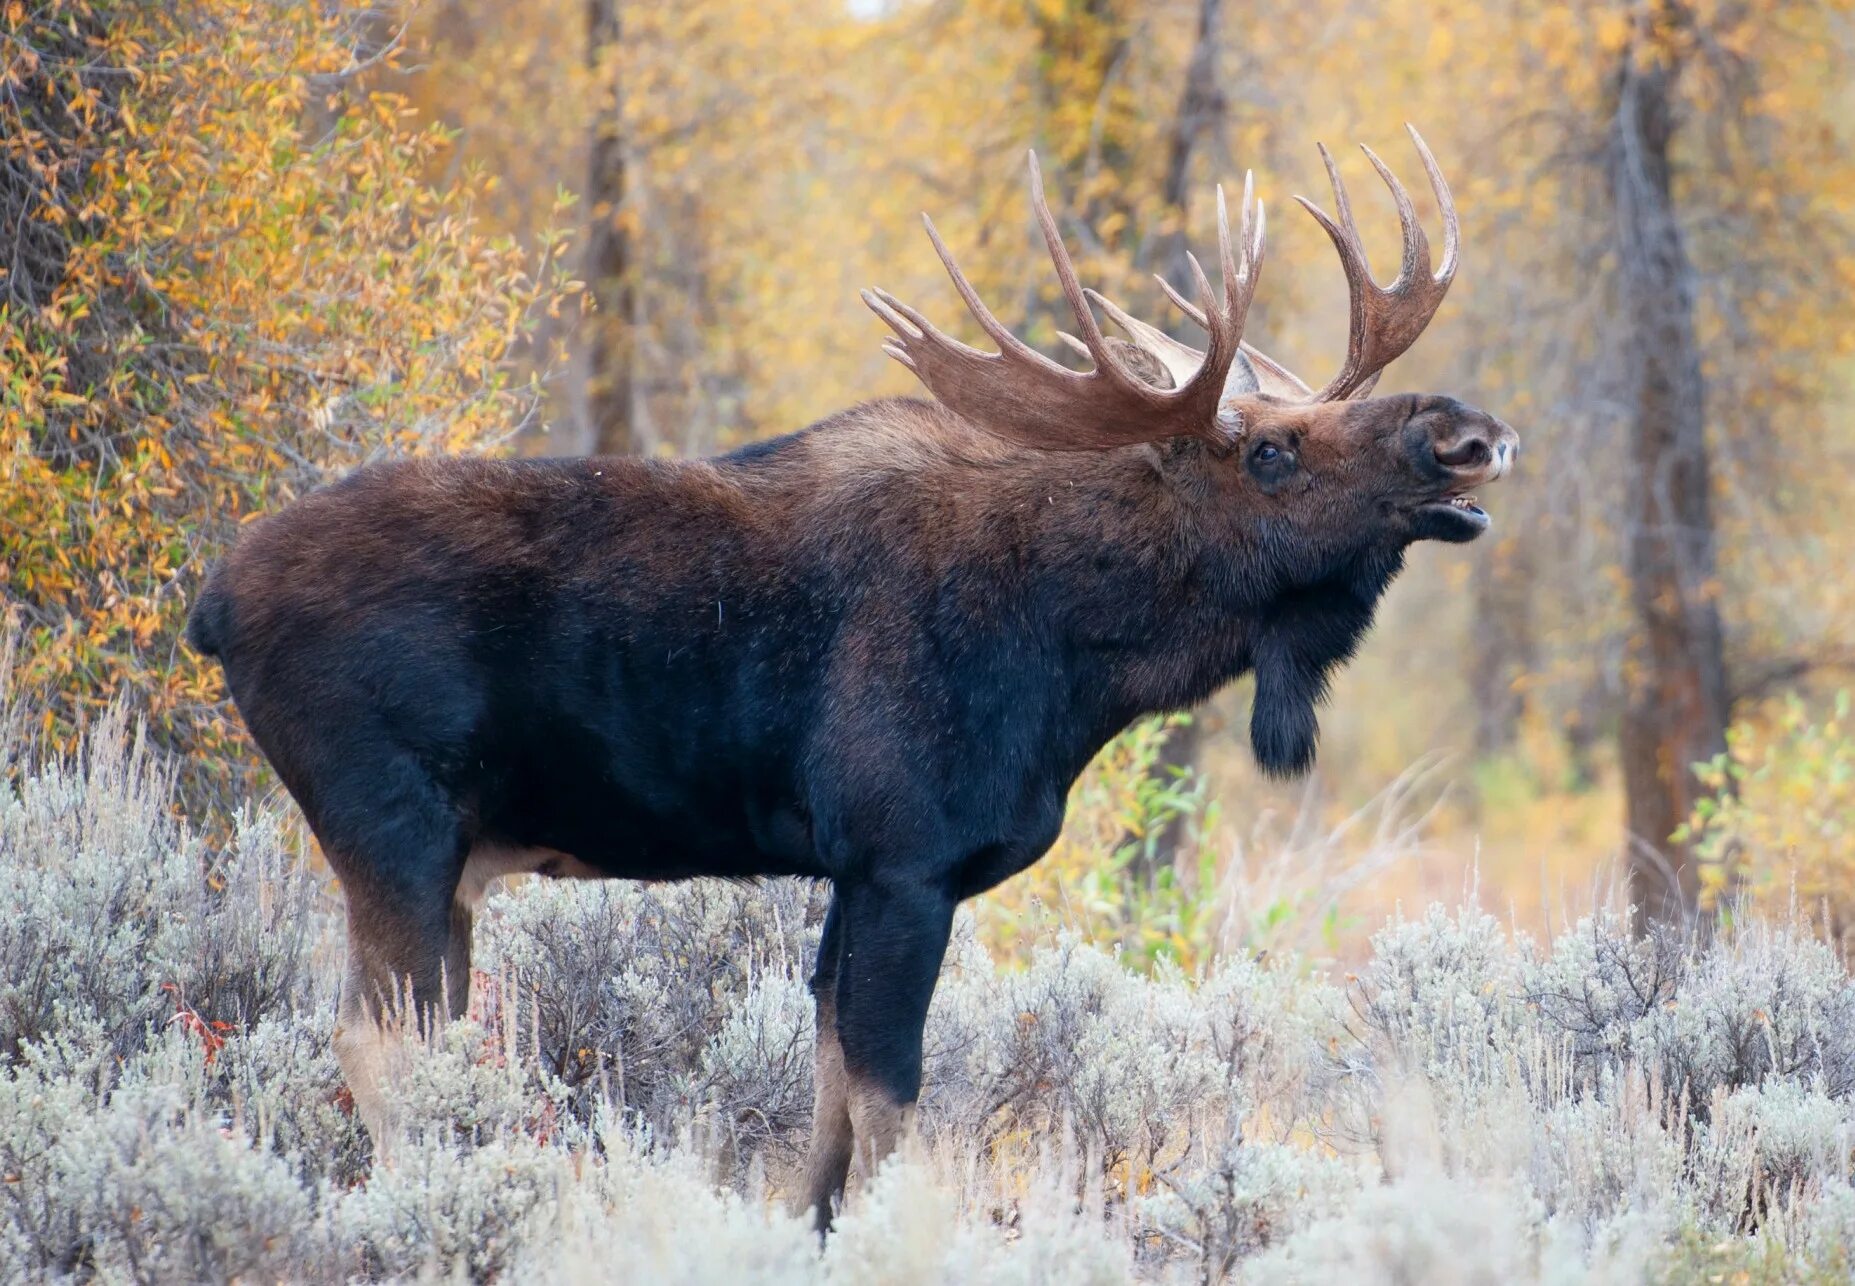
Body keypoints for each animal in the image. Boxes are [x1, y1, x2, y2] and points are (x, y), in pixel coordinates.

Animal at [188, 128, 1513, 1224]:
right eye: (1272, 451)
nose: (1468, 431)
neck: (1075, 661)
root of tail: (211, 605)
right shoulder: (901, 856)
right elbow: (888, 1108)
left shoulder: (854, 872)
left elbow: (824, 1115)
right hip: (393, 828)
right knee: (379, 1049)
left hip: (449, 859)